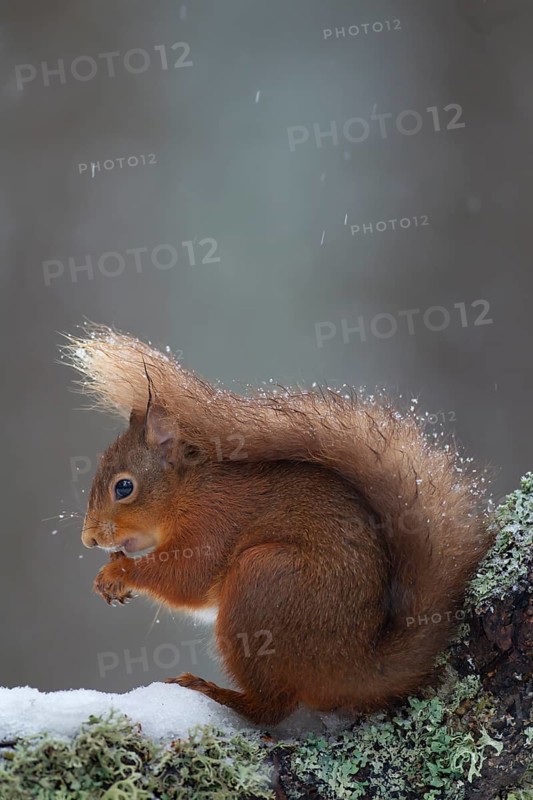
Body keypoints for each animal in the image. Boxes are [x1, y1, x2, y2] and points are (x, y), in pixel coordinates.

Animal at [63, 323, 494, 726]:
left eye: (124, 487)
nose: (89, 539)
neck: (188, 492)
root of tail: (356, 667)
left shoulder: (212, 523)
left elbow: (188, 577)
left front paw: (118, 572)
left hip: (262, 583)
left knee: (272, 708)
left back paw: (214, 692)